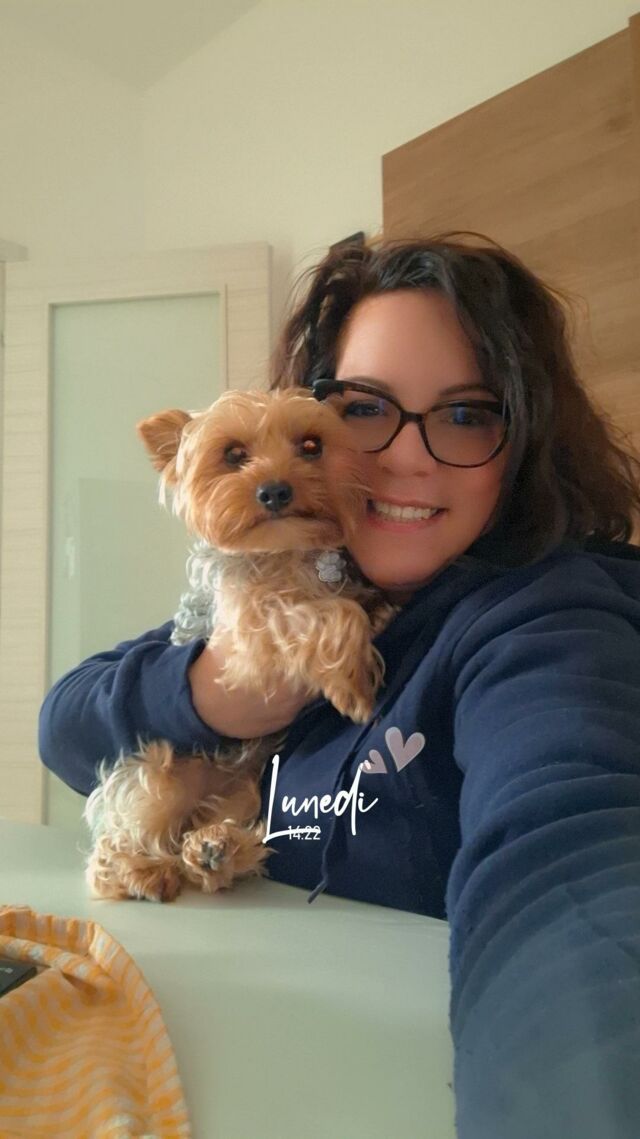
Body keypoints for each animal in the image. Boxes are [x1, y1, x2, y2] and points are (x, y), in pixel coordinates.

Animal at [84, 387, 397, 903]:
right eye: (233, 455)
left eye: (311, 446)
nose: (275, 490)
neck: (285, 552)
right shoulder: (248, 632)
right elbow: (327, 613)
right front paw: (352, 683)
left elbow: (350, 601)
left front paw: (380, 610)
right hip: (162, 774)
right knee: (120, 840)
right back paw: (143, 869)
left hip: (247, 786)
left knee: (219, 826)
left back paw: (216, 850)